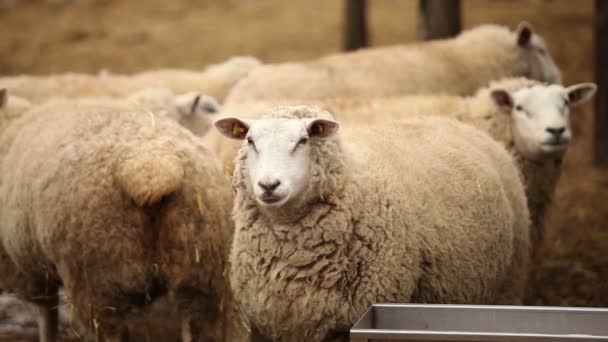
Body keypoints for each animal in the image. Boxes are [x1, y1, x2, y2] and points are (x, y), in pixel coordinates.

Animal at [0, 98, 242, 342]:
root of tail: (153, 170)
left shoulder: (27, 266)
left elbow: (46, 315)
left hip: (99, 276)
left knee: (109, 331)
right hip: (201, 267)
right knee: (197, 324)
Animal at [215, 105, 532, 340]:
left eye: (303, 140)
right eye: (250, 141)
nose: (268, 185)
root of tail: (456, 123)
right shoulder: (266, 324)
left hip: (511, 280)